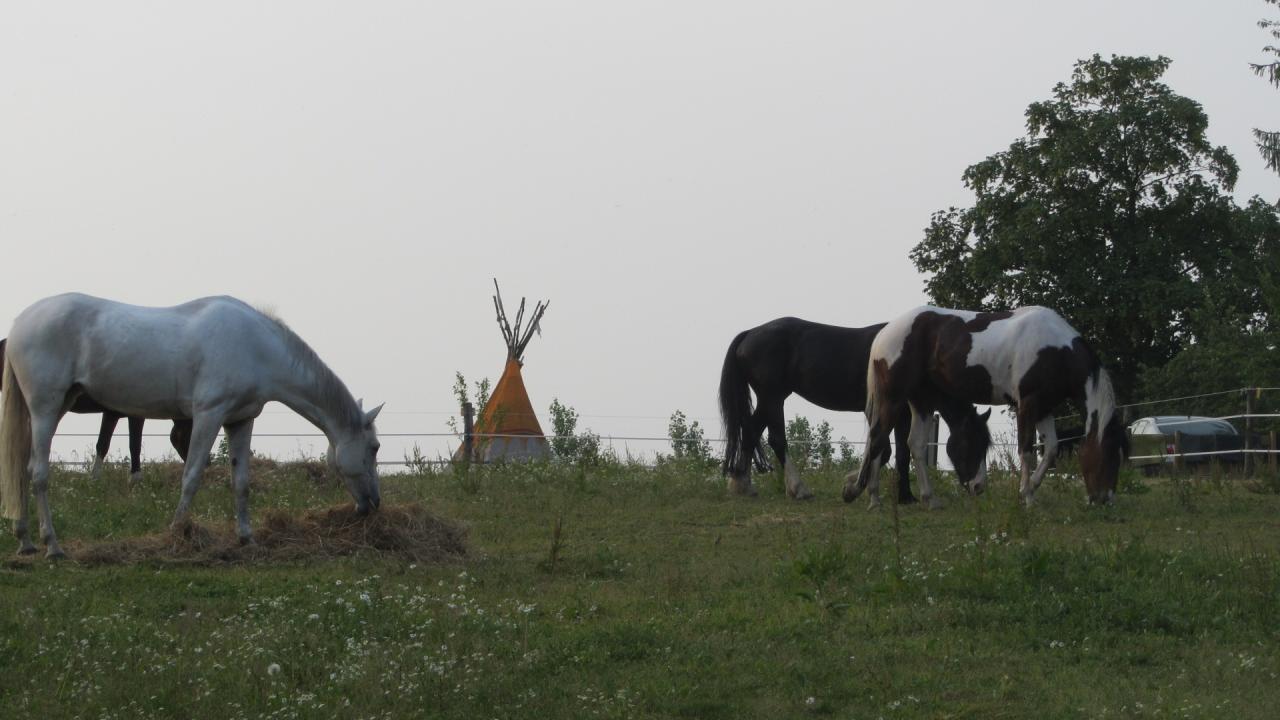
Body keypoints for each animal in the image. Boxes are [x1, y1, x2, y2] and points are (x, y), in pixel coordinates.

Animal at [1, 335, 192, 481]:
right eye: (187, 437)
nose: (203, 467)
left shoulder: (112, 414)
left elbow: (103, 444)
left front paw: (95, 479)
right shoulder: (133, 415)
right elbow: (133, 445)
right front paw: (135, 480)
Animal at [721, 316, 988, 502]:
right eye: (973, 442)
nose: (978, 487)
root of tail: (749, 334)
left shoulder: (899, 413)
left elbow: (897, 453)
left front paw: (902, 495)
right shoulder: (889, 410)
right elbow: (887, 451)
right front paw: (857, 484)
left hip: (769, 400)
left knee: (751, 430)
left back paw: (742, 484)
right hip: (773, 398)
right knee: (776, 439)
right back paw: (799, 489)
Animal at [844, 304, 1126, 507]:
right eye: (1109, 453)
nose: (1105, 498)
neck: (1055, 349)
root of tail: (885, 332)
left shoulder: (1045, 407)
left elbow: (1051, 450)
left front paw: (1032, 488)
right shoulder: (1027, 404)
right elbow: (1026, 450)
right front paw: (1027, 496)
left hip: (921, 401)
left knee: (914, 444)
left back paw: (927, 499)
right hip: (894, 397)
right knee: (878, 437)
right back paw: (862, 493)